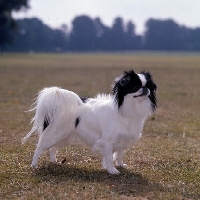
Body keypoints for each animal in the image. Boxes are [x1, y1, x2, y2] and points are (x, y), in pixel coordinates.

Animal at [22, 69, 156, 174]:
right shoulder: (107, 142)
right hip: (53, 136)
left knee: (52, 149)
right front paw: (113, 171)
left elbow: (119, 154)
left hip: (64, 137)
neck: (126, 110)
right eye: (135, 87)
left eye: (148, 86)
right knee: (38, 150)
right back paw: (34, 165)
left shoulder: (123, 139)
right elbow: (109, 158)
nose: (144, 88)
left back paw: (54, 162)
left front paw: (120, 165)